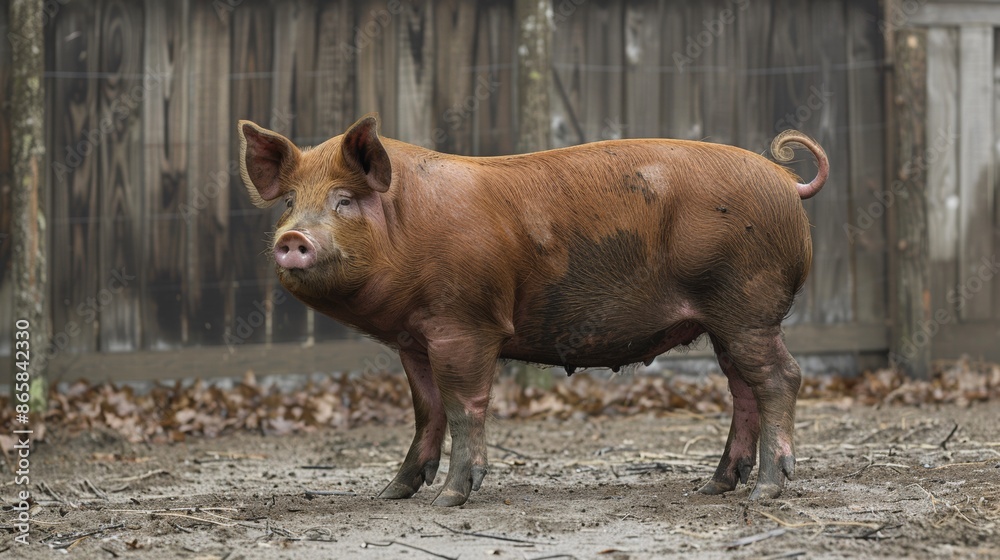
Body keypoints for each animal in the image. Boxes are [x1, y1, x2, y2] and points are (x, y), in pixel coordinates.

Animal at [237, 114, 828, 507]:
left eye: (343, 200)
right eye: (289, 201)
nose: (291, 238)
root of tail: (786, 180)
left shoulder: (466, 325)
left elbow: (463, 406)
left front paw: (448, 499)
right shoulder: (413, 340)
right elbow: (426, 410)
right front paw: (391, 493)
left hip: (748, 306)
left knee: (782, 377)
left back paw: (766, 490)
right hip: (724, 321)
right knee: (743, 389)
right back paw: (711, 486)